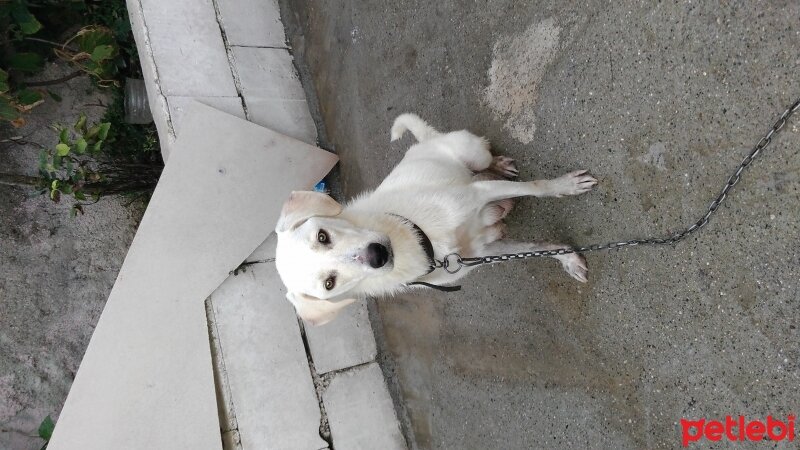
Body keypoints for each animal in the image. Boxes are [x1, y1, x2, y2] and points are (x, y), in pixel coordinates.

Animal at [276, 112, 592, 324]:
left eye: (322, 236)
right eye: (329, 283)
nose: (378, 255)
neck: (416, 238)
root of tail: (427, 141)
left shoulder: (478, 194)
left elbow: (538, 188)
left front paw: (565, 186)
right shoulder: (477, 254)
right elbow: (534, 249)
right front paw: (567, 257)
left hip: (472, 154)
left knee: (485, 160)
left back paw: (499, 165)